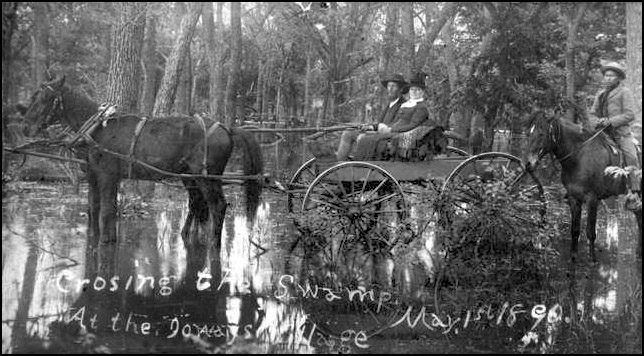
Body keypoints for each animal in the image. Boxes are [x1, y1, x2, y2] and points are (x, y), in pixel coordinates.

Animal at [22, 76, 264, 276]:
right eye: (33, 96)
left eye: (45, 99)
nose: (25, 127)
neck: (98, 130)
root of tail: (228, 128)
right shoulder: (93, 177)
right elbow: (93, 209)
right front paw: (94, 239)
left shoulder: (108, 176)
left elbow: (107, 211)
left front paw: (107, 242)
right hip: (189, 176)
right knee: (198, 204)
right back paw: (188, 235)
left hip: (207, 177)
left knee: (218, 206)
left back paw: (214, 245)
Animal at [524, 111, 640, 262]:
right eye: (529, 133)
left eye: (541, 134)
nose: (528, 164)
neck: (578, 157)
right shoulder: (574, 198)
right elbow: (575, 230)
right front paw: (573, 257)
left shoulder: (592, 199)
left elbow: (591, 232)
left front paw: (592, 258)